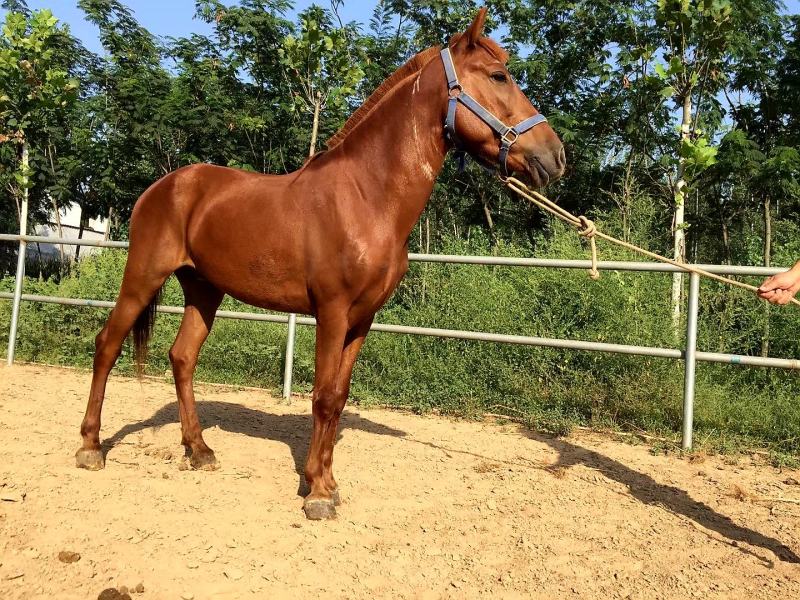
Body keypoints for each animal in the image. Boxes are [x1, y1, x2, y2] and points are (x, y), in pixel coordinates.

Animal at [74, 8, 565, 520]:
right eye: (498, 76)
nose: (555, 156)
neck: (366, 197)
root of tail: (162, 187)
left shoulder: (362, 318)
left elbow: (340, 396)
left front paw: (325, 480)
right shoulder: (332, 312)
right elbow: (324, 397)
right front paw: (318, 495)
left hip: (204, 289)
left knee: (182, 357)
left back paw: (200, 450)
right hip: (143, 276)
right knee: (107, 345)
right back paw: (91, 447)